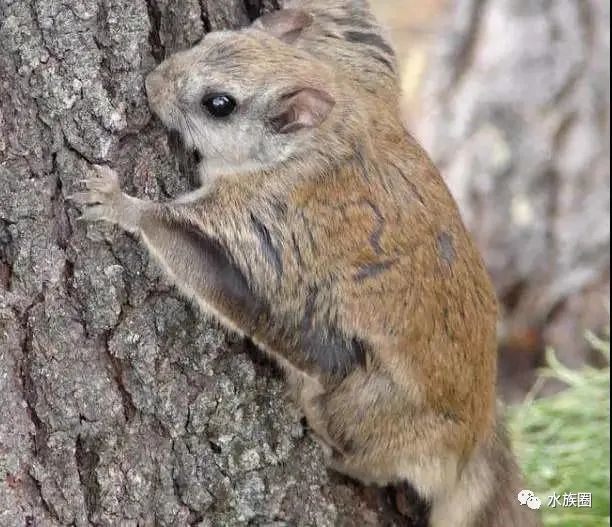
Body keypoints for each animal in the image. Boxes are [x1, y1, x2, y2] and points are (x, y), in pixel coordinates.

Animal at [73, 2, 540, 524]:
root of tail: (472, 442)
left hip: (367, 403)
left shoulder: (263, 220)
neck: (316, 138)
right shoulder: (362, 74)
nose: (152, 82)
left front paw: (120, 204)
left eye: (219, 104)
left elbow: (200, 260)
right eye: (208, 39)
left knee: (377, 463)